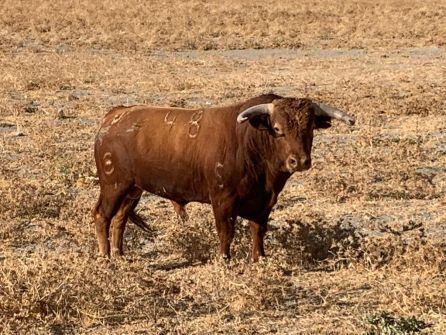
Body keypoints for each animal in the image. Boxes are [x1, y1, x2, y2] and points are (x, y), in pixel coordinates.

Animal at [92, 94, 354, 262]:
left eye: (309, 129)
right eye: (278, 129)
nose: (298, 161)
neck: (250, 141)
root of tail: (115, 115)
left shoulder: (264, 203)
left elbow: (258, 231)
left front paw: (260, 259)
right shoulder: (222, 201)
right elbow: (226, 232)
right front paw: (225, 260)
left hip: (133, 190)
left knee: (120, 219)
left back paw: (120, 255)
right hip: (113, 185)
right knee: (102, 215)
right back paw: (105, 257)